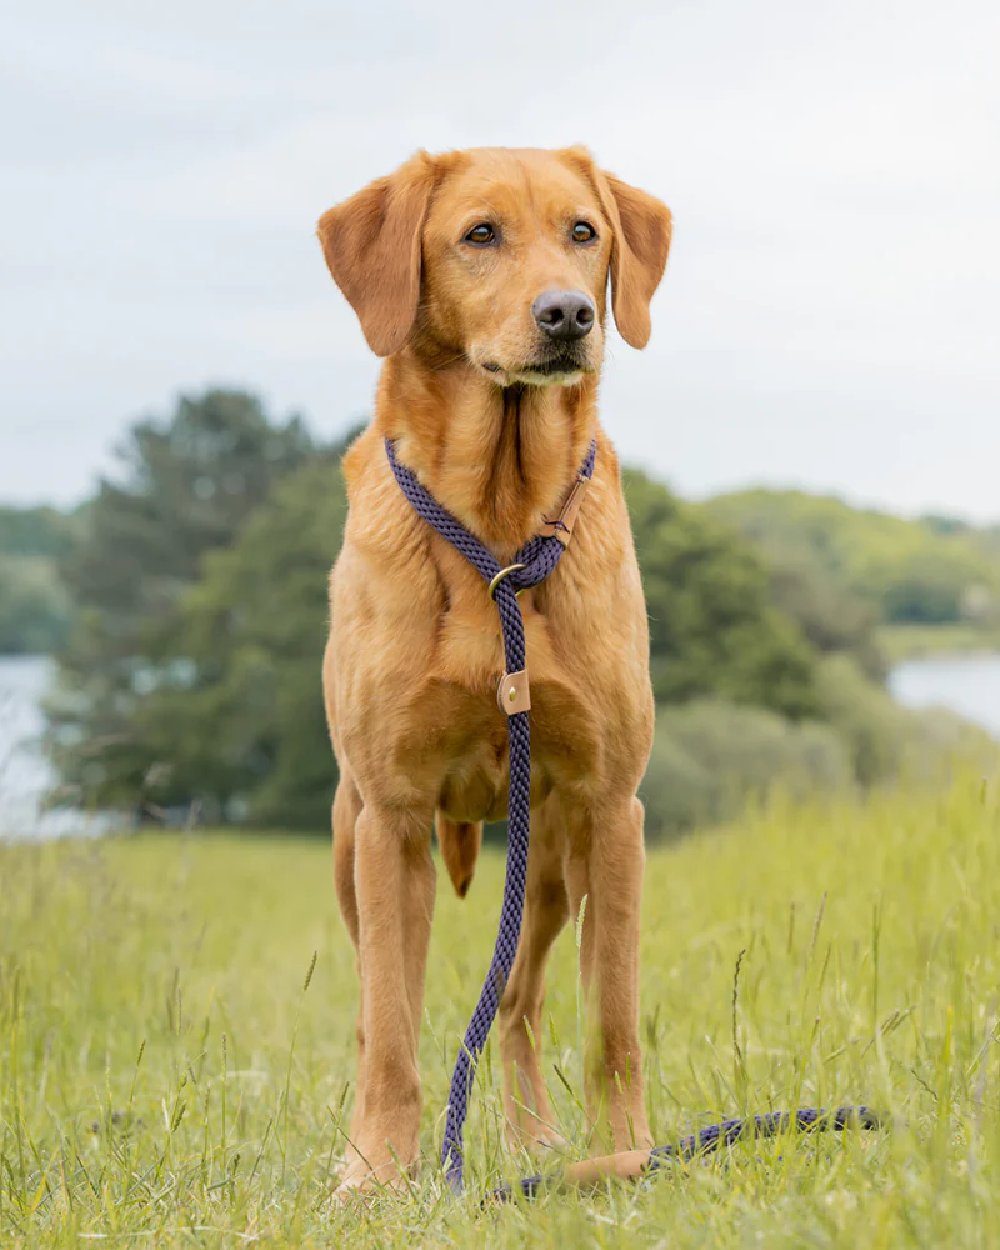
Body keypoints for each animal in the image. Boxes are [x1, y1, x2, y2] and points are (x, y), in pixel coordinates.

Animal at [316, 146, 670, 1190]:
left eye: (584, 232)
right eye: (480, 234)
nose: (569, 315)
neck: (501, 533)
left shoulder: (611, 808)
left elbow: (612, 1025)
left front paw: (627, 1155)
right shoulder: (392, 818)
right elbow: (392, 1033)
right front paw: (377, 1175)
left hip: (547, 859)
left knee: (515, 1004)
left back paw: (537, 1142)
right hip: (354, 848)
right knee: (378, 1008)